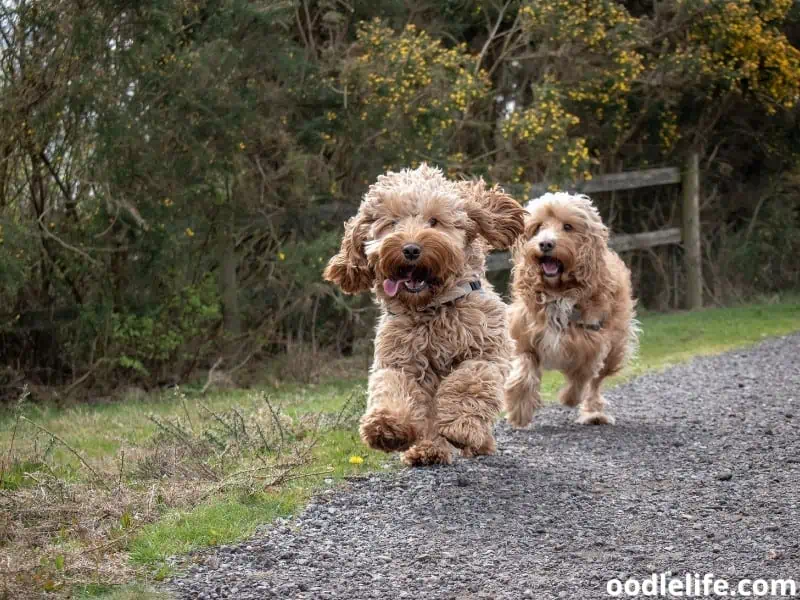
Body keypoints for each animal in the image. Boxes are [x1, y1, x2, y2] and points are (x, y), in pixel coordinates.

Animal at [324, 165, 524, 468]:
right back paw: (427, 449)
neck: (433, 309)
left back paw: (478, 442)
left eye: (434, 221)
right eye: (392, 222)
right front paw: (386, 427)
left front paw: (461, 427)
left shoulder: (485, 352)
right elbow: (393, 386)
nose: (410, 249)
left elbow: (469, 382)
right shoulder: (401, 360)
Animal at [506, 192, 636, 426]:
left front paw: (569, 397)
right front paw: (519, 409)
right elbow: (524, 370)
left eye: (567, 226)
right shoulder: (525, 336)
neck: (558, 292)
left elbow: (582, 376)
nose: (545, 243)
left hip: (615, 348)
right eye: (538, 227)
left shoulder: (591, 343)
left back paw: (593, 412)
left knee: (596, 382)